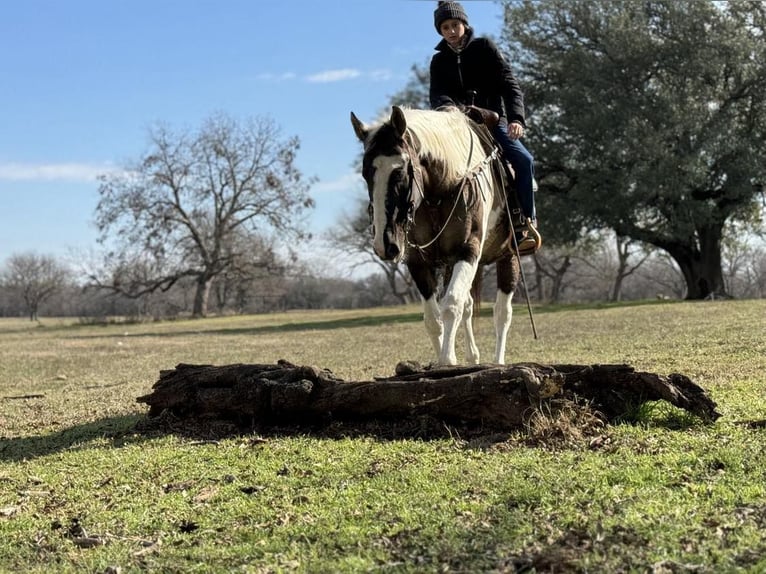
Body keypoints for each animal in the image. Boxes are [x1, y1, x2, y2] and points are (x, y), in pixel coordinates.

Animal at [352, 104, 520, 366]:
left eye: (399, 170)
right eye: (365, 173)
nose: (384, 244)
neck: (442, 190)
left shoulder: (468, 250)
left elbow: (451, 305)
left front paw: (447, 360)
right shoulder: (418, 262)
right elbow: (433, 318)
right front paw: (446, 359)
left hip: (508, 256)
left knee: (502, 312)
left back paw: (498, 362)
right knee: (469, 305)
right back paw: (473, 357)